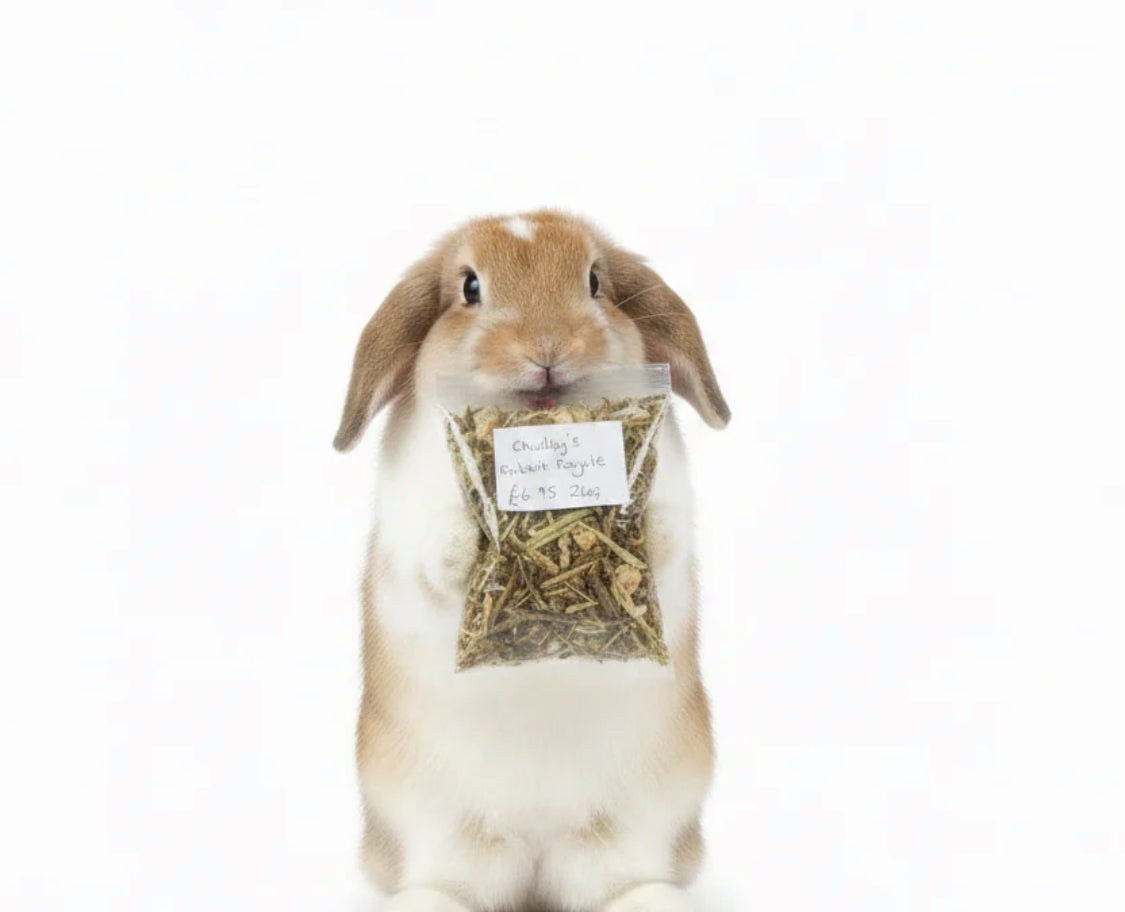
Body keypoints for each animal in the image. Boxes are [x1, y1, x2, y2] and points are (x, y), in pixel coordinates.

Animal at [333, 210, 730, 912]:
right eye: (469, 287)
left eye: (594, 280)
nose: (548, 347)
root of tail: (537, 854)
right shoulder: (407, 541)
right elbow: (431, 561)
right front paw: (470, 542)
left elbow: (667, 538)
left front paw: (638, 527)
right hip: (436, 827)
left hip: (635, 824)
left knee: (620, 880)